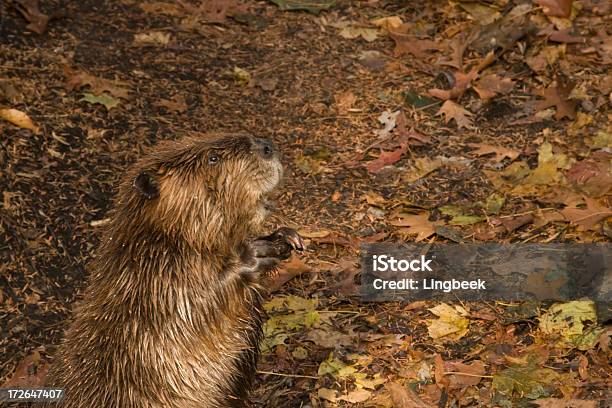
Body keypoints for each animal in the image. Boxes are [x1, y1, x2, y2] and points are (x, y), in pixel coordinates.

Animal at [40, 134, 304, 408]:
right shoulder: (155, 283)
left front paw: (284, 237)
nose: (267, 147)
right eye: (213, 158)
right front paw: (257, 252)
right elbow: (192, 307)